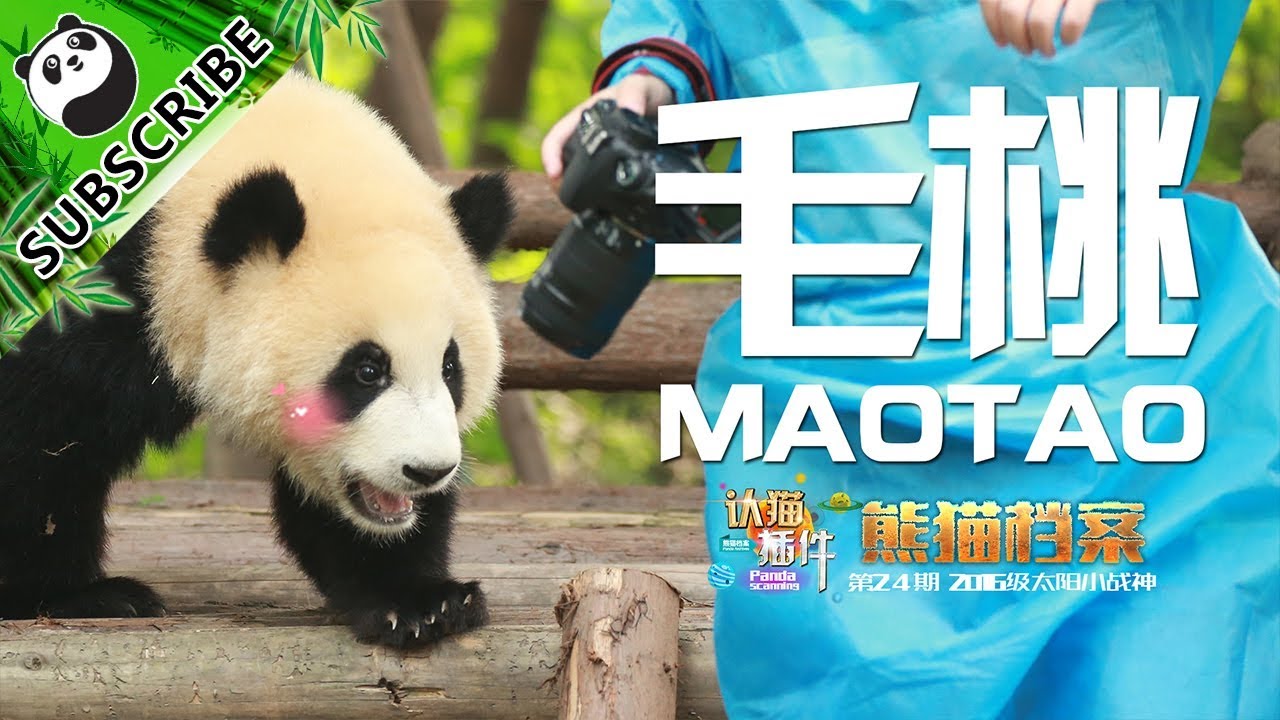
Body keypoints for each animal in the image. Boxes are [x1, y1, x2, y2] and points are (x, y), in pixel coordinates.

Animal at [0, 72, 514, 649]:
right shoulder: (71, 287)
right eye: (366, 370)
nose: (428, 471)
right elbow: (41, 435)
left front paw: (418, 601)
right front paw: (68, 595)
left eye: (450, 367)